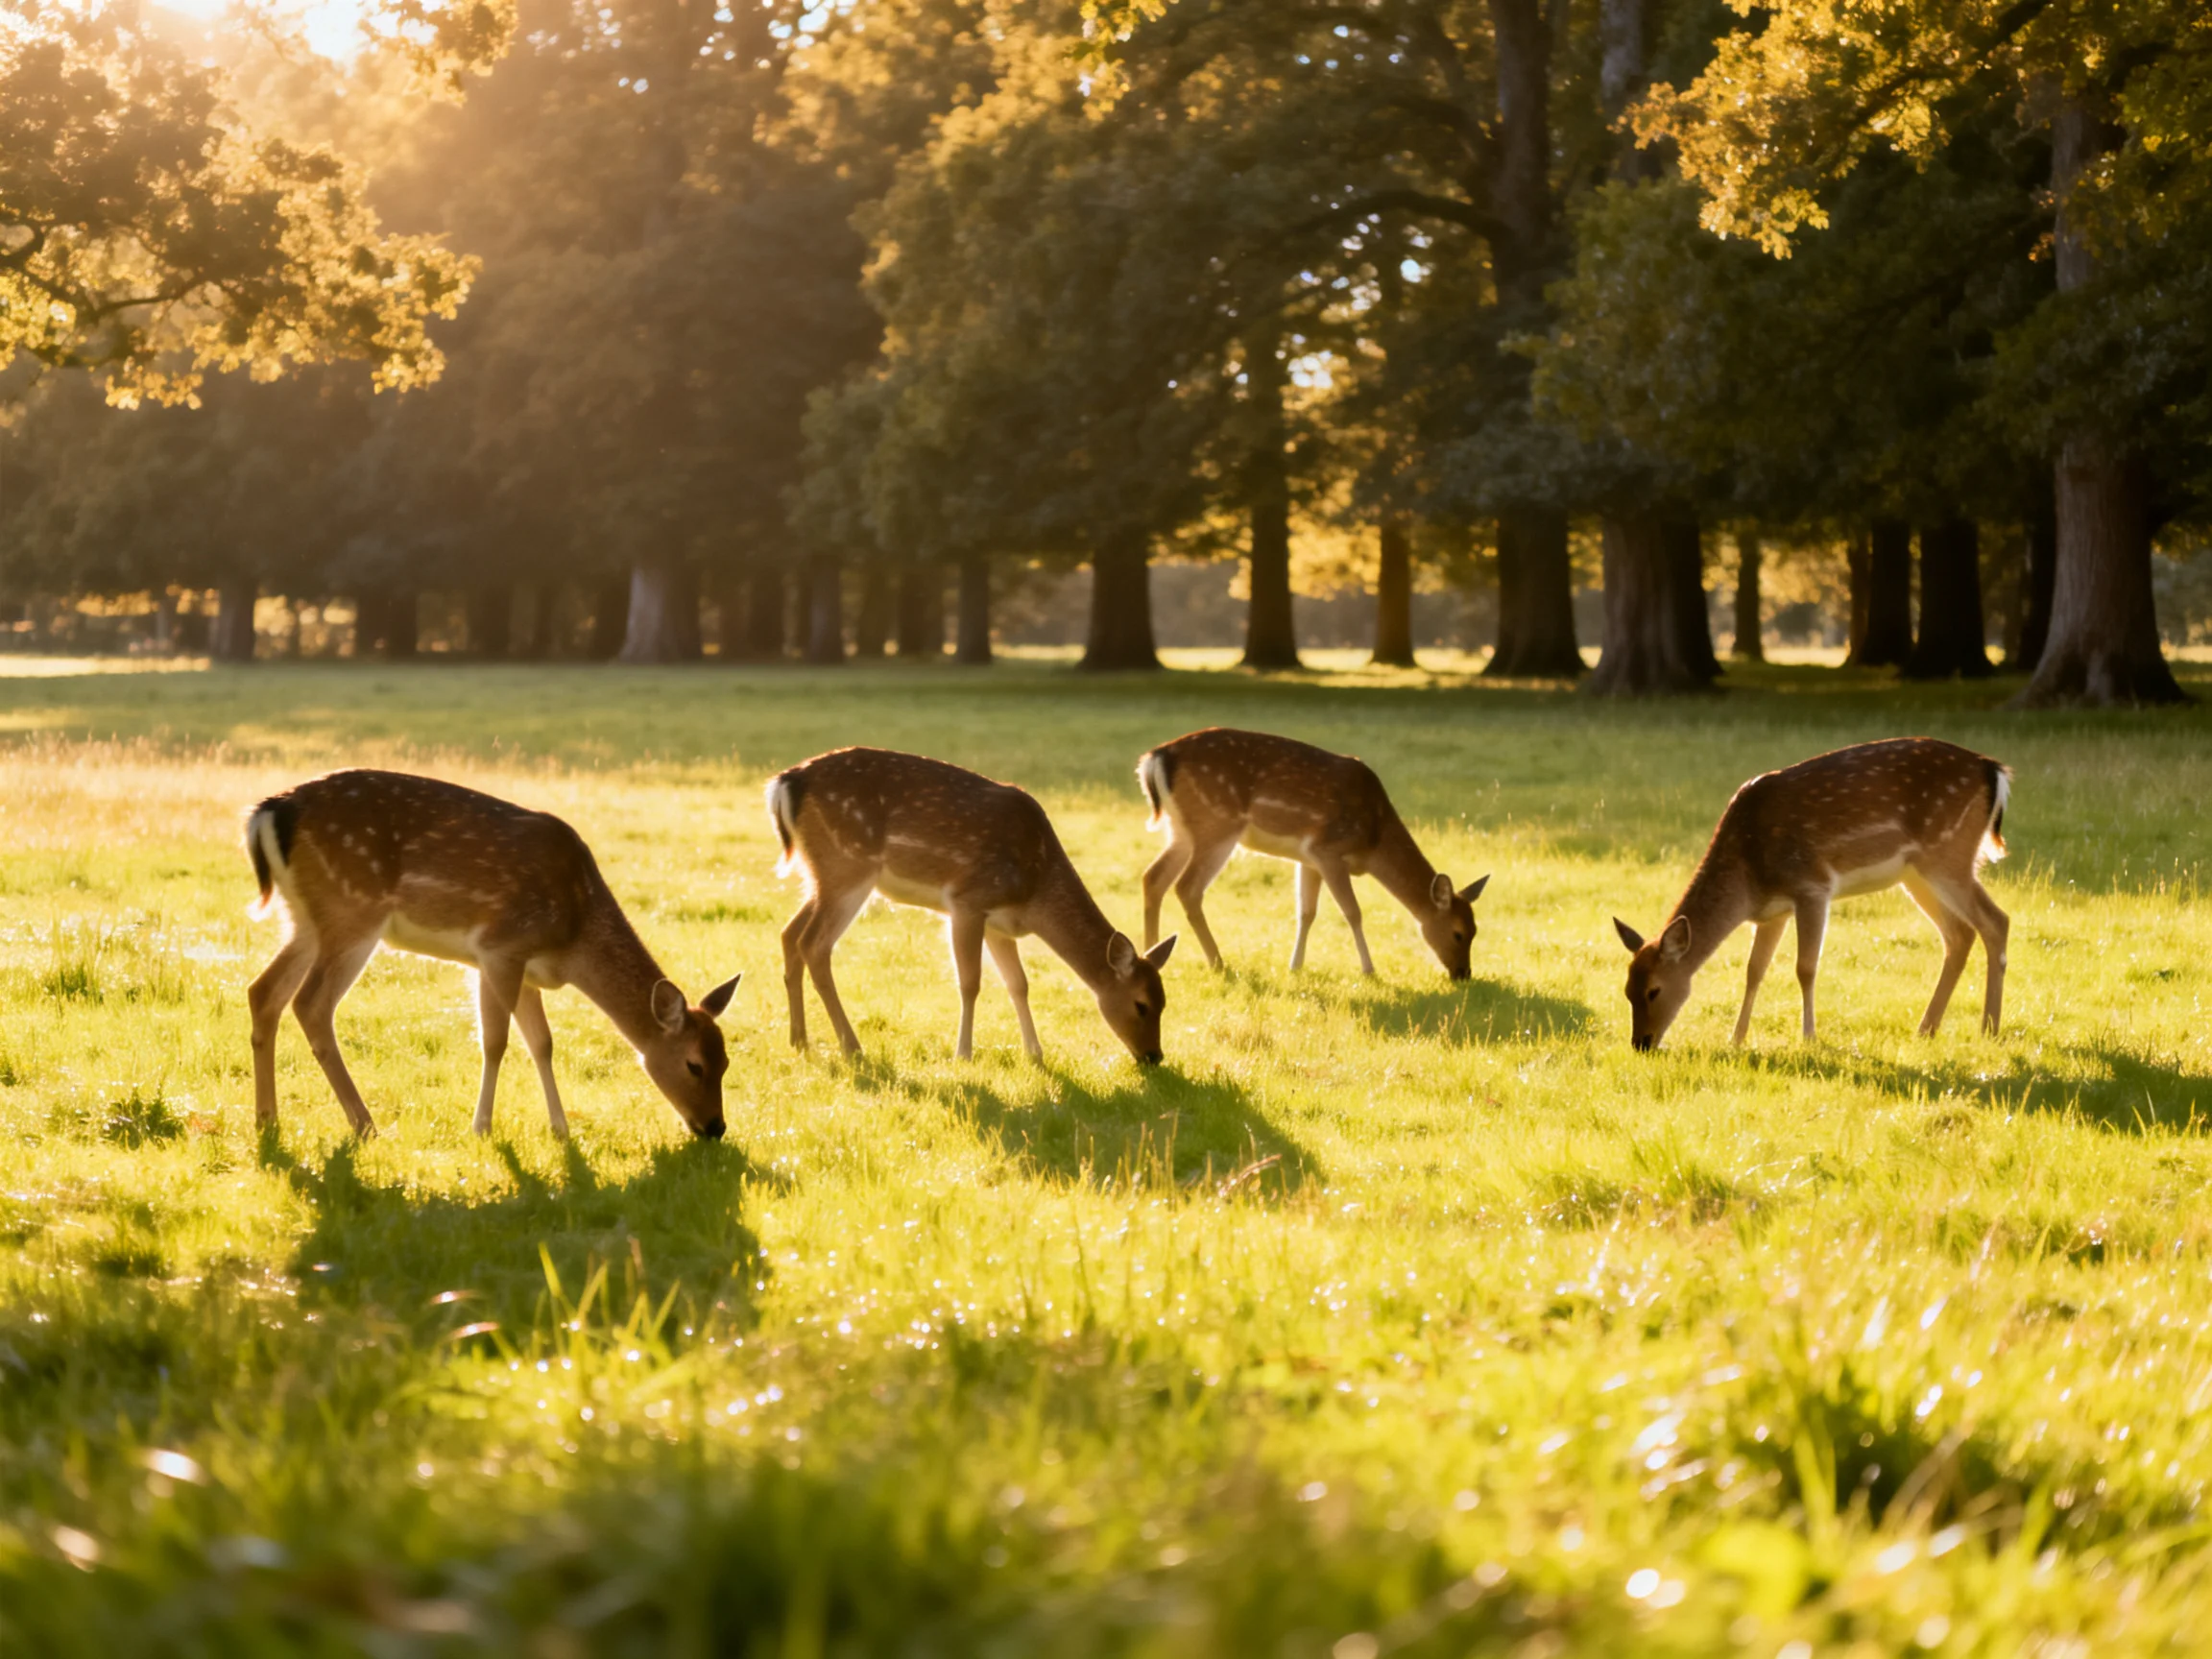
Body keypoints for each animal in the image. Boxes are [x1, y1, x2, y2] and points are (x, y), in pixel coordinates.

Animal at [245, 770, 740, 1140]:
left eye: (727, 1062)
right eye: (694, 1065)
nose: (715, 1128)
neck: (573, 938)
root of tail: (270, 812)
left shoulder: (520, 967)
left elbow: (542, 1042)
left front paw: (561, 1129)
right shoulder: (500, 947)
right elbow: (497, 1040)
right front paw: (482, 1127)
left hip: (306, 919)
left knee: (262, 991)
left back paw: (267, 1119)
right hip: (353, 911)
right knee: (310, 1003)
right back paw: (364, 1124)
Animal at [767, 747, 1176, 1064]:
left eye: (1164, 1003)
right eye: (1141, 1004)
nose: (1154, 1057)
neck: (1034, 890)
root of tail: (785, 783)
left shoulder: (999, 923)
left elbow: (1018, 984)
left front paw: (1035, 1053)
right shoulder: (968, 901)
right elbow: (970, 982)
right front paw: (963, 1054)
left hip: (821, 873)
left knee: (789, 933)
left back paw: (799, 1040)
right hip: (848, 867)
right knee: (813, 944)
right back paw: (852, 1046)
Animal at [1135, 728, 1489, 978]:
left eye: (1476, 930)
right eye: (1458, 933)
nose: (1464, 974)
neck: (1374, 838)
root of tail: (1155, 758)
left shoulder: (1308, 859)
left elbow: (1306, 912)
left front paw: (1295, 966)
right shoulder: (1328, 849)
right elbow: (1353, 911)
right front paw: (1369, 970)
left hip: (1182, 829)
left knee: (1153, 877)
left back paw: (1152, 954)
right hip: (1217, 823)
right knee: (1187, 887)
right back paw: (1218, 962)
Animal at [1614, 737, 2012, 1051]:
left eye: (1653, 990)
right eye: (1627, 991)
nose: (1641, 1044)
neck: (1749, 875)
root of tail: (1994, 770)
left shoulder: (1811, 885)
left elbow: (1805, 967)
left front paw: (1808, 1038)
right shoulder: (1772, 910)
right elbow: (1754, 970)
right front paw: (1737, 1038)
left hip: (1947, 855)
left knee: (1996, 920)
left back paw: (1989, 1029)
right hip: (1916, 873)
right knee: (1960, 933)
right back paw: (1927, 1029)